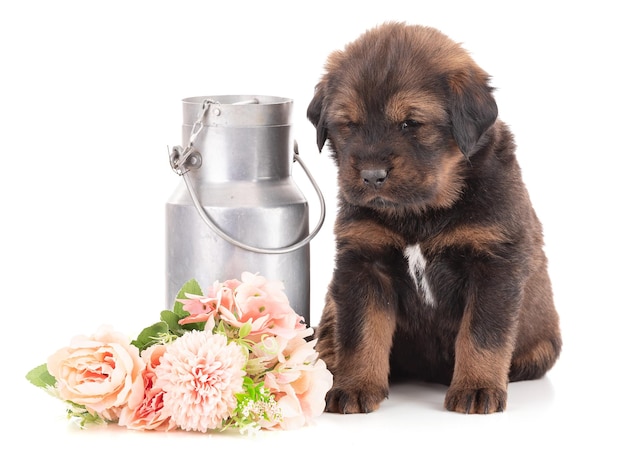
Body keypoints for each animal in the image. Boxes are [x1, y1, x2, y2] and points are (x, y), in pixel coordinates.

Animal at [308, 21, 560, 416]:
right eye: (348, 124)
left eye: (411, 123)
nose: (372, 176)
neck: (421, 213)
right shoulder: (364, 261)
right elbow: (361, 334)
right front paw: (355, 386)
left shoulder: (494, 263)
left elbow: (482, 334)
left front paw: (476, 388)